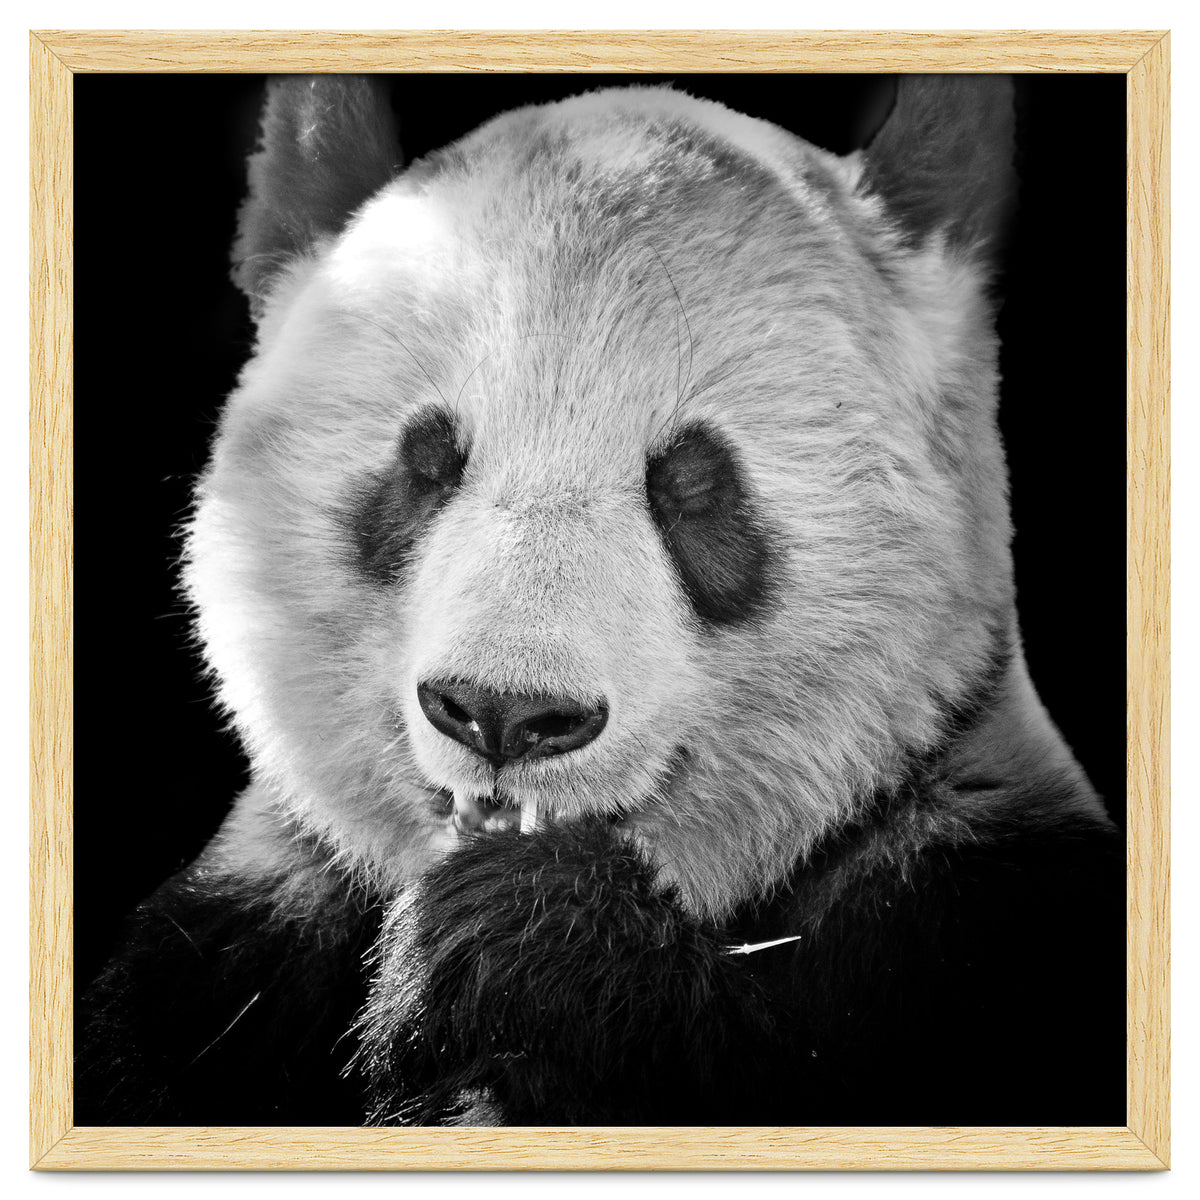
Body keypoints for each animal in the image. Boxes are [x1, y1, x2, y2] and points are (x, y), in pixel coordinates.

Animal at [77, 75, 1124, 1127]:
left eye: (693, 485)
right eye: (427, 462)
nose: (504, 713)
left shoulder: (975, 910)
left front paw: (525, 941)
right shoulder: (230, 952)